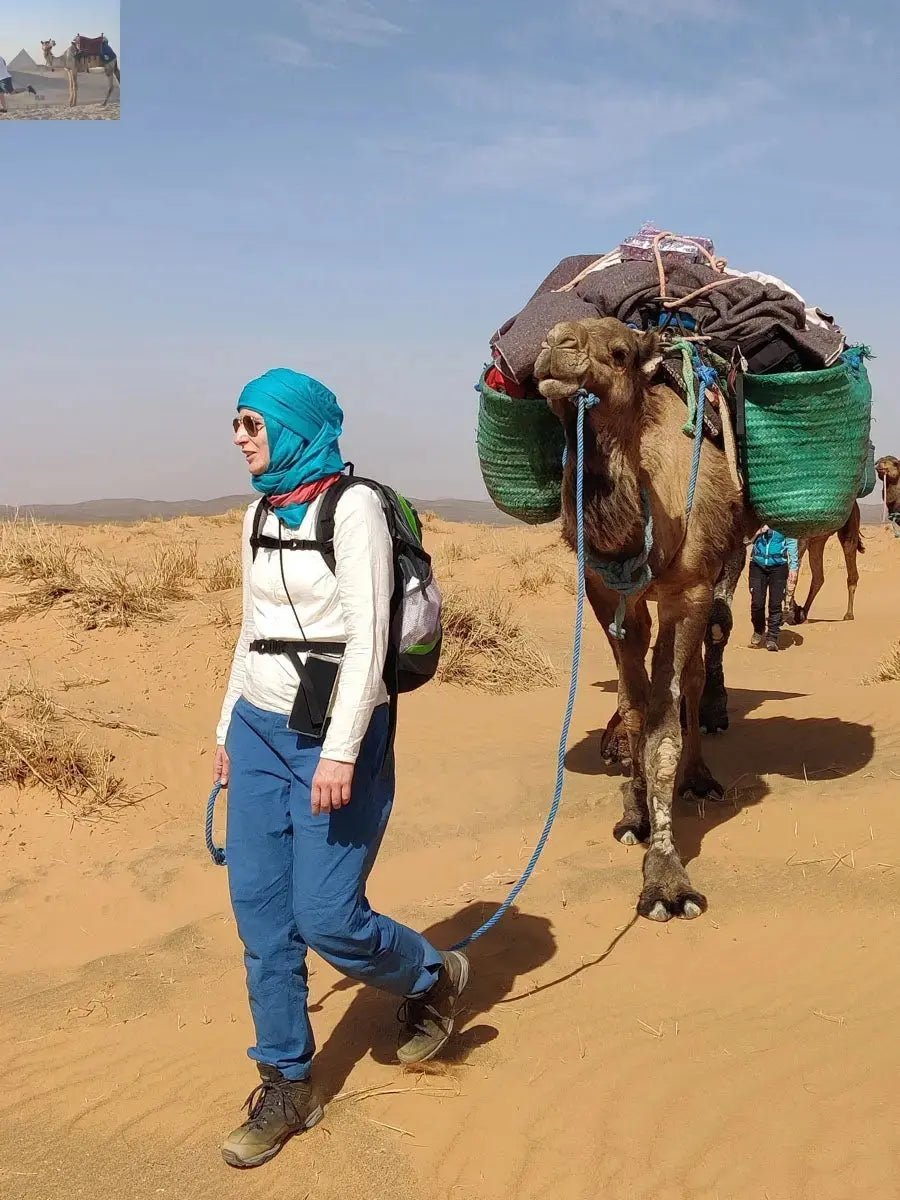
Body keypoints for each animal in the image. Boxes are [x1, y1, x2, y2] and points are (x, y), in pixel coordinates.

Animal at [534, 317, 746, 922]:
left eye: (621, 352)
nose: (556, 343)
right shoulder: (605, 592)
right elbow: (632, 713)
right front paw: (636, 817)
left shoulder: (690, 590)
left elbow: (662, 730)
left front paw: (667, 882)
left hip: (726, 569)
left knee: (697, 673)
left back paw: (700, 778)